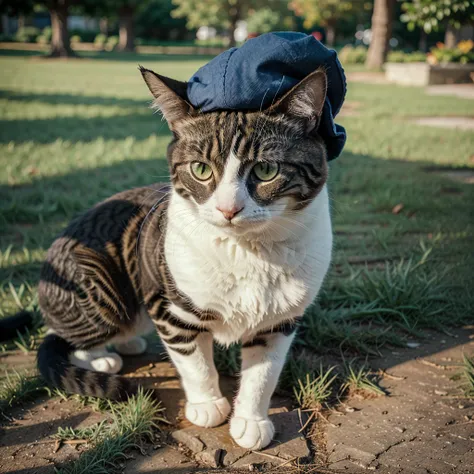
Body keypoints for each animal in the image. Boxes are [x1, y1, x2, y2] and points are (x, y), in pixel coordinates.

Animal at [36, 65, 334, 448]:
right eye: (200, 169)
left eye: (266, 170)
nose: (228, 209)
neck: (248, 252)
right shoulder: (171, 308)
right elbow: (195, 364)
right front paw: (208, 405)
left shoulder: (280, 319)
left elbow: (263, 373)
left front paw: (251, 421)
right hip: (99, 289)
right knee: (71, 337)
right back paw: (102, 358)